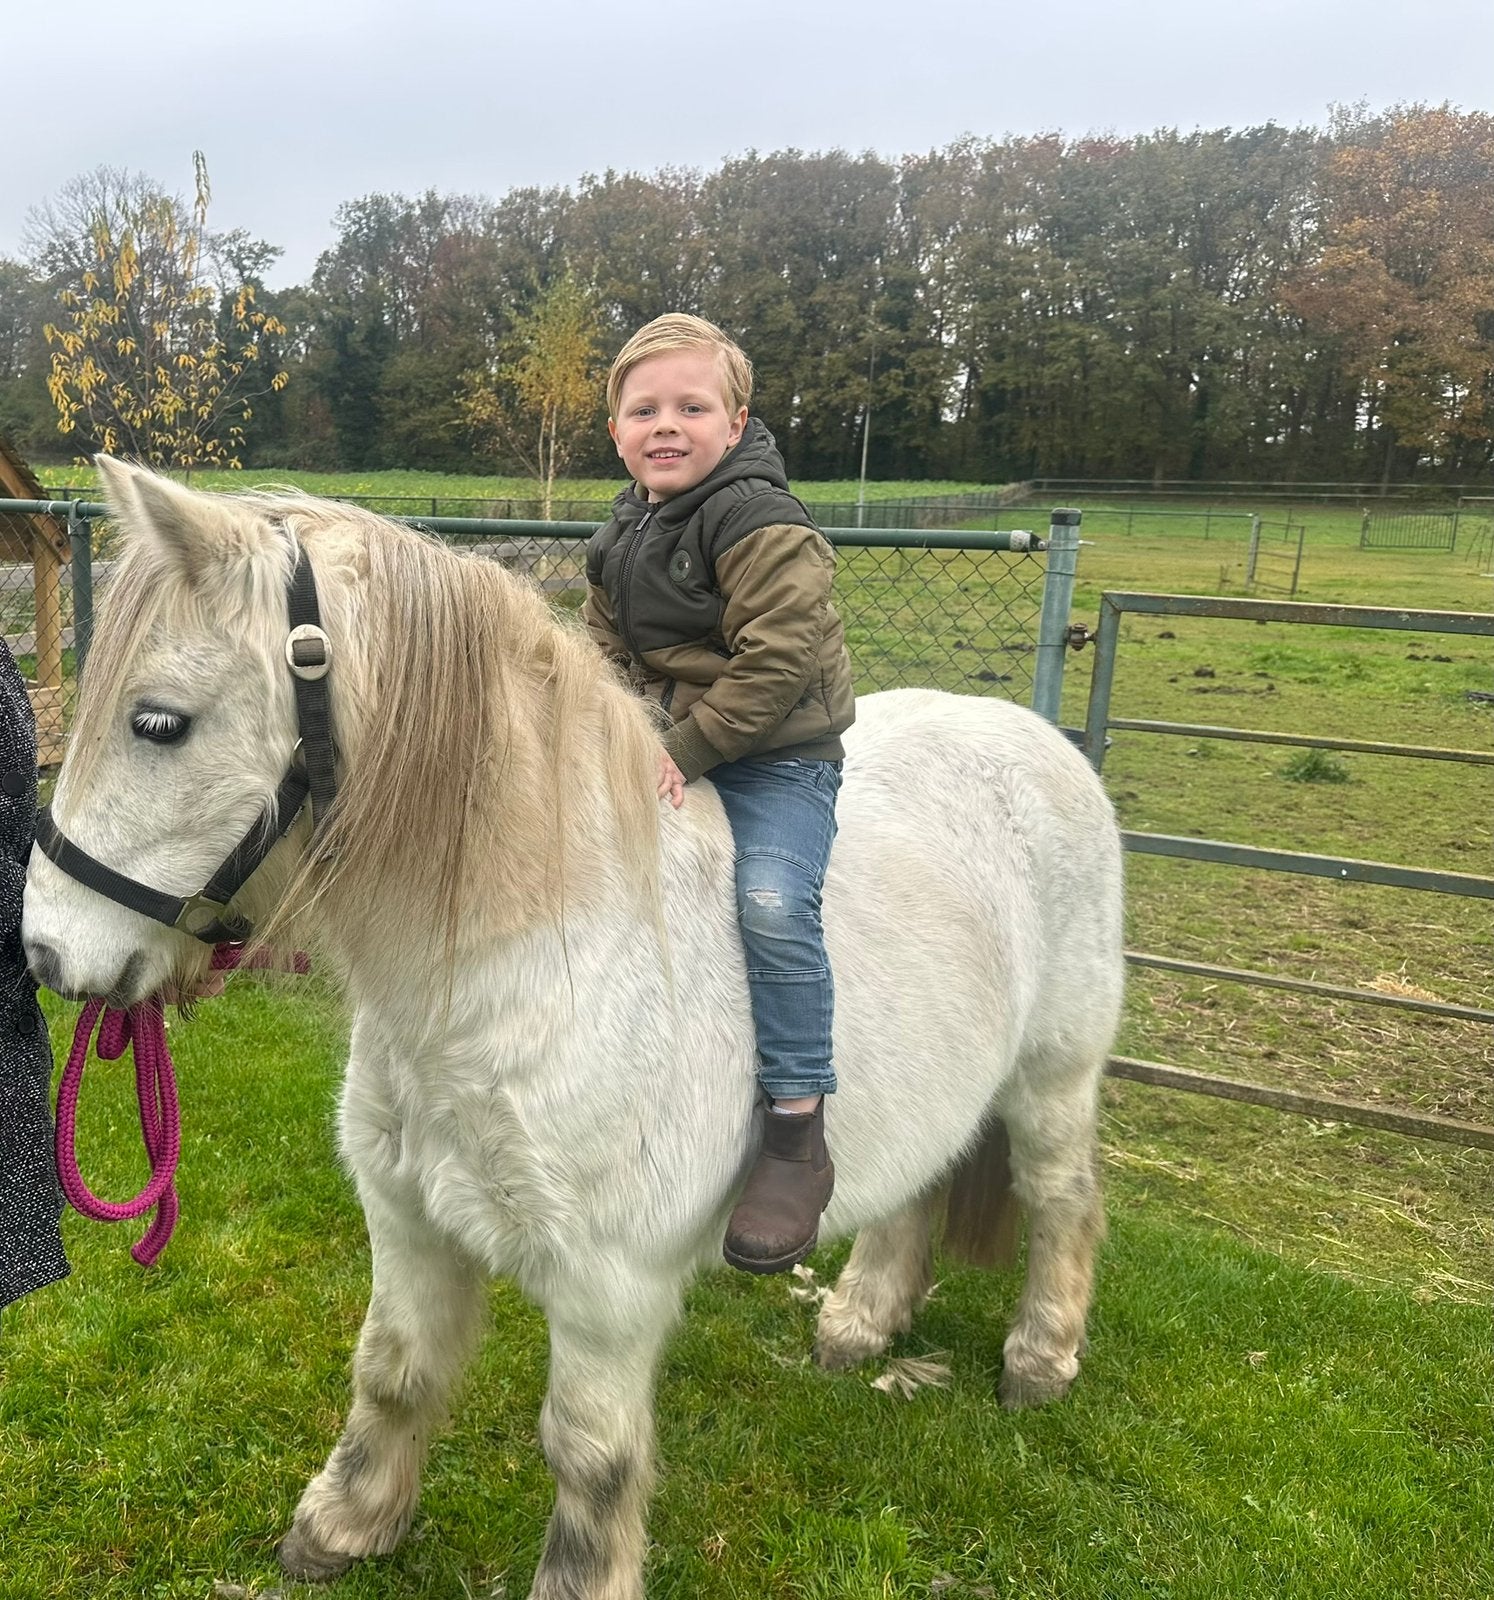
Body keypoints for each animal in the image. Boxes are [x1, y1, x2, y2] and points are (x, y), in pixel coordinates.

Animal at [23, 457, 1125, 1599]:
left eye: (158, 723)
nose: (46, 951)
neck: (527, 967)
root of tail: (1035, 740)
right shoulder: (407, 1225)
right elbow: (391, 1373)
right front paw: (346, 1523)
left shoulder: (610, 1289)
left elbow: (591, 1455)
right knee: (920, 1181)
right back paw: (861, 1321)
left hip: (1053, 1079)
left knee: (1064, 1201)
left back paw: (1041, 1360)